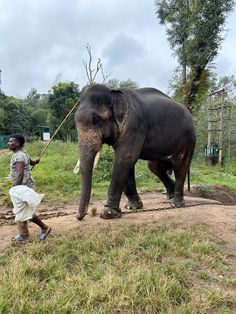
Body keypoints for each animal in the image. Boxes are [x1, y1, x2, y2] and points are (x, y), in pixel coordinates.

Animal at [74, 84, 196, 221]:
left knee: (180, 167)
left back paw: (176, 204)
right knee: (154, 167)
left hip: (188, 140)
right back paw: (170, 196)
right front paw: (132, 207)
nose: (79, 217)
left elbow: (125, 158)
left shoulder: (134, 125)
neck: (112, 94)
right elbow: (126, 161)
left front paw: (108, 214)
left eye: (96, 119)